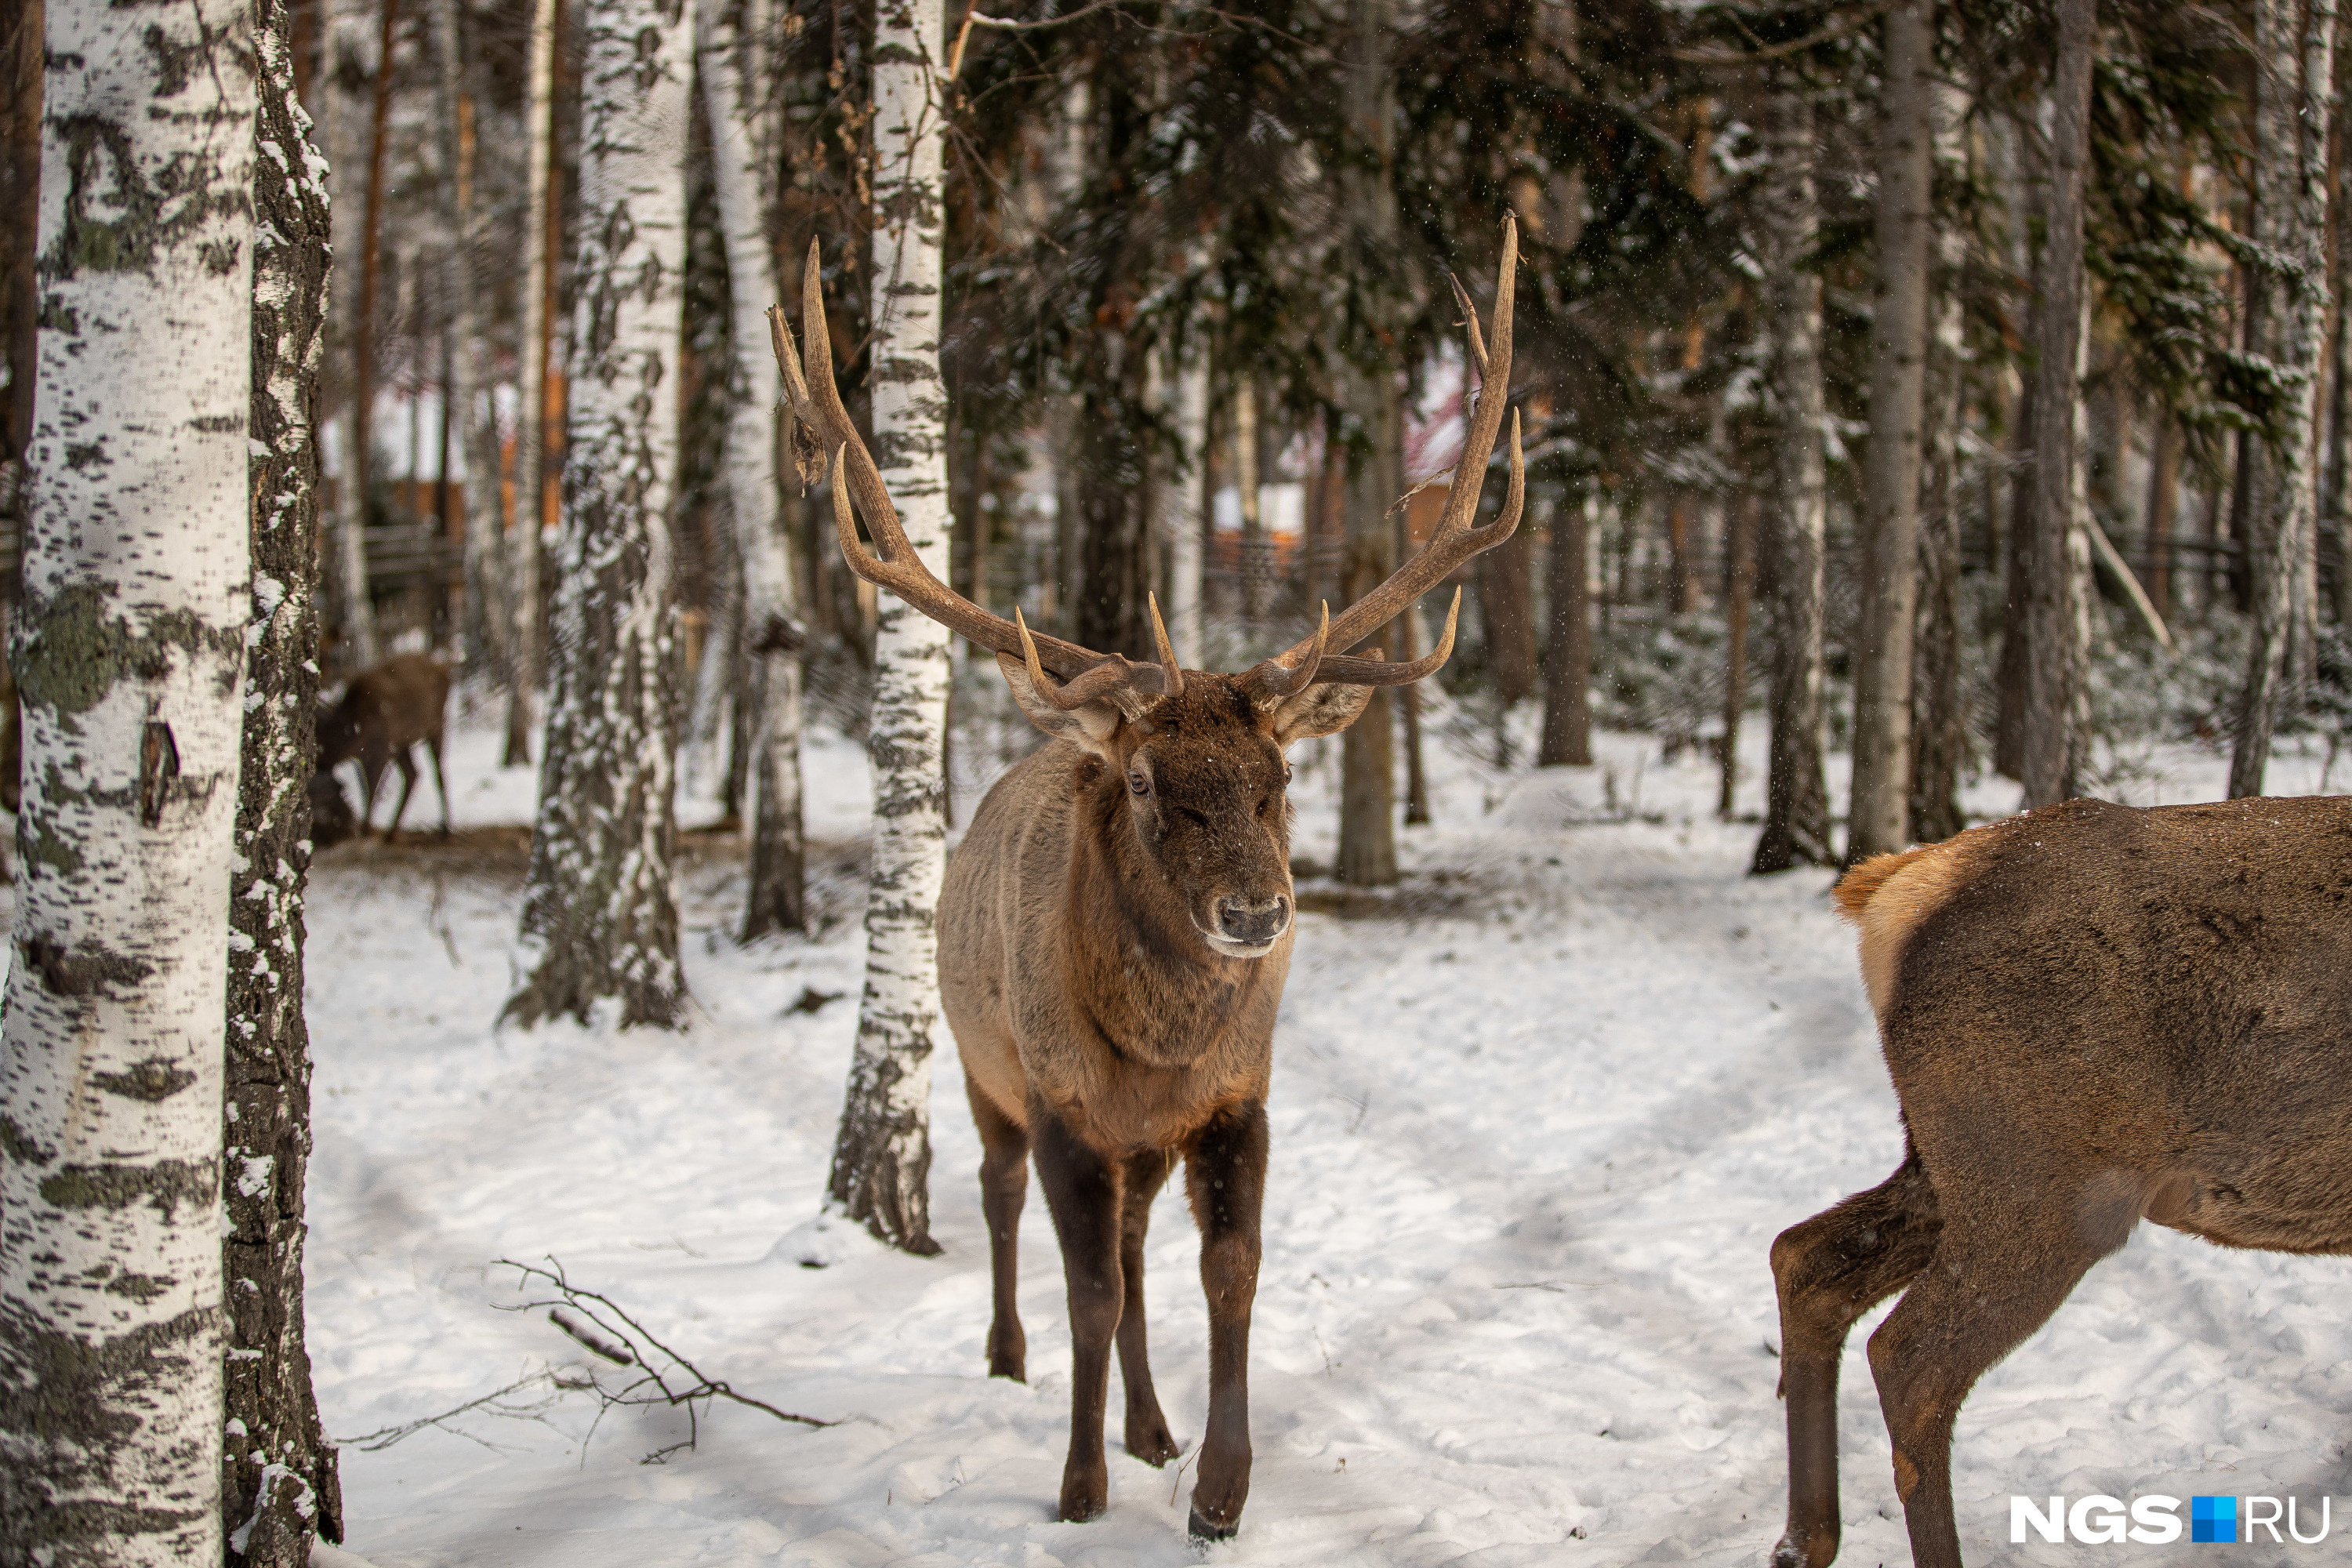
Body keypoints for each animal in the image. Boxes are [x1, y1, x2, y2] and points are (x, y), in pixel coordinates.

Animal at [315, 653, 452, 846]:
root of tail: (445, 668)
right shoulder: (369, 753)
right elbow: (364, 786)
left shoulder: (381, 748)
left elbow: (371, 788)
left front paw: (365, 830)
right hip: (403, 741)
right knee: (413, 774)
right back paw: (391, 833)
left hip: (437, 724)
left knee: (439, 771)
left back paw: (446, 831)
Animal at [781, 220, 1524, 1542]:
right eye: (1138, 780)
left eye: (1280, 771)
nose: (1257, 910)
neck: (1157, 1050)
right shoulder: (1067, 1104)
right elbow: (1085, 1290)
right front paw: (1076, 1488)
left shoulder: (1232, 1100)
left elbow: (1225, 1273)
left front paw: (1217, 1487)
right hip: (982, 1064)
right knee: (1002, 1198)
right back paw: (1010, 1360)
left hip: (1141, 1145)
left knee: (1131, 1256)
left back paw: (1150, 1426)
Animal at [1769, 799, 2352, 1568]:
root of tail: (1901, 888)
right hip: (2046, 1190)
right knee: (1910, 1359)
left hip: (1944, 1170)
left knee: (1805, 1257)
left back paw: (1803, 1541)